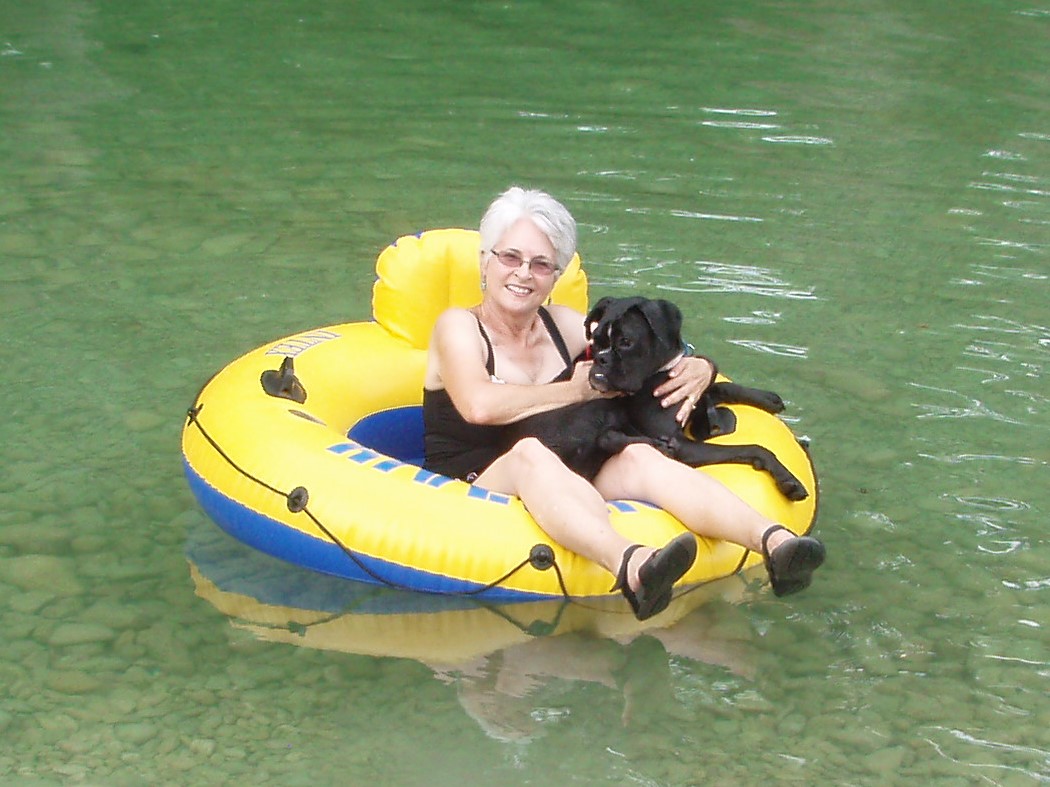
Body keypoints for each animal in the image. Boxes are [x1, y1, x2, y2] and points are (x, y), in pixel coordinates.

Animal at [503, 296, 808, 501]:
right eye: (596, 340)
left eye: (626, 342)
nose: (601, 359)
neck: (657, 372)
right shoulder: (685, 444)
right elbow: (753, 447)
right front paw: (787, 479)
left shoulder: (685, 393)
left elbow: (717, 388)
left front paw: (766, 397)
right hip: (593, 410)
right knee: (607, 437)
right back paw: (657, 446)